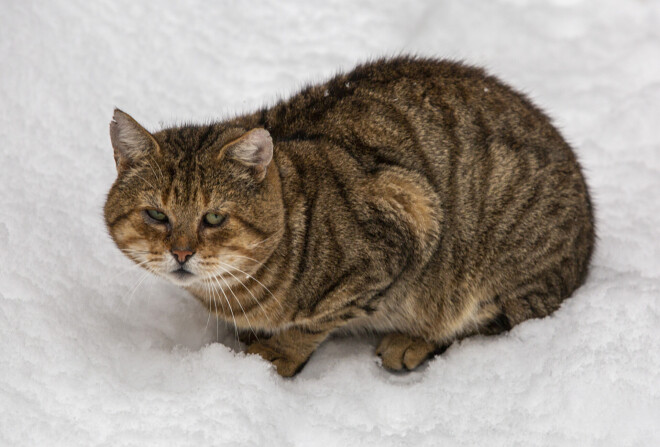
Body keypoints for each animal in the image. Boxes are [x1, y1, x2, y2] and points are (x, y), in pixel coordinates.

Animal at [105, 56, 596, 378]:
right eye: (156, 214)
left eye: (212, 218)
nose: (181, 252)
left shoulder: (408, 217)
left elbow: (312, 324)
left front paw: (278, 354)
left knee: (490, 324)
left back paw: (411, 342)